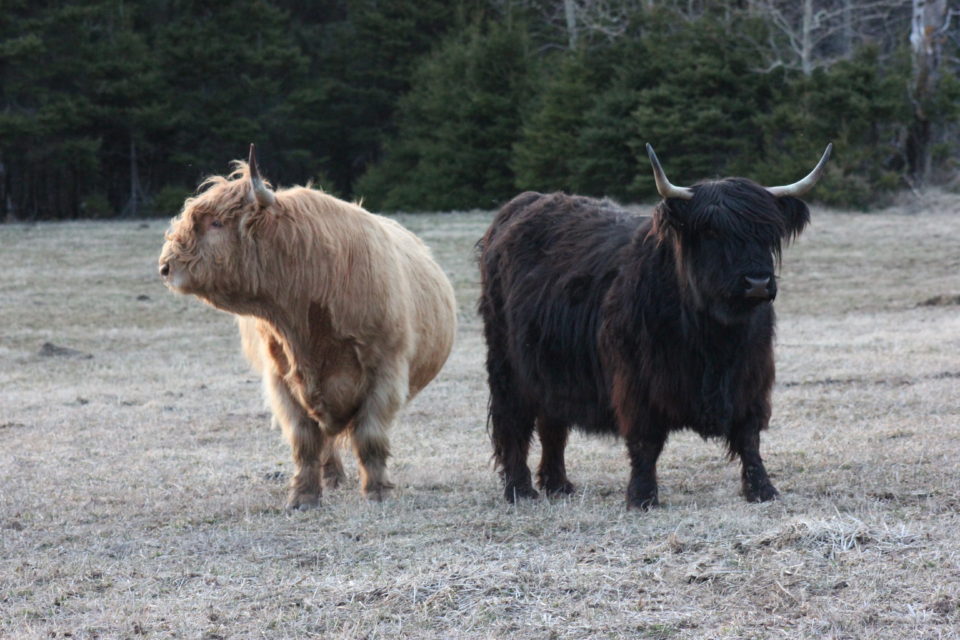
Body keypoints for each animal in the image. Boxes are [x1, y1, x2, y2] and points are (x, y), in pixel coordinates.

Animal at [158, 145, 458, 510]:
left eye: (216, 223)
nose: (165, 266)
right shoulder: (281, 378)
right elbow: (305, 440)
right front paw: (303, 496)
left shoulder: (387, 369)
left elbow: (370, 435)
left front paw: (378, 491)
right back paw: (332, 477)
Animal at [480, 142, 832, 508]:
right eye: (711, 231)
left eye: (767, 232)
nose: (758, 282)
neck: (714, 337)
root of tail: (523, 204)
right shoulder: (637, 381)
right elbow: (645, 440)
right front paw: (642, 496)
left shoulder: (751, 379)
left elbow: (749, 437)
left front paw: (763, 490)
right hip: (507, 363)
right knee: (513, 422)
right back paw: (520, 490)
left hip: (550, 367)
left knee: (552, 423)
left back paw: (558, 484)